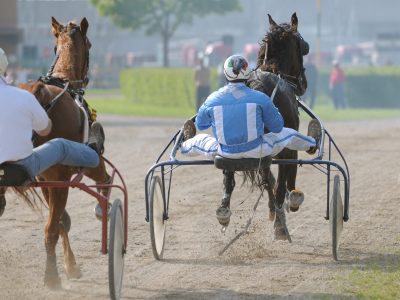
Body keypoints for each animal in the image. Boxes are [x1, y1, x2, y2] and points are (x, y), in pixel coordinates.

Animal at [14, 16, 111, 288]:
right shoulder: (73, 168)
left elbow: (61, 221)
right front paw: (68, 267)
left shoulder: (46, 179)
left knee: (55, 224)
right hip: (73, 167)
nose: (86, 80)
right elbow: (60, 222)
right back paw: (52, 276)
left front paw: (70, 265)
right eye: (90, 44)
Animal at [247, 12, 310, 240]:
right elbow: (285, 180)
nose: (303, 83)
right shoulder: (289, 147)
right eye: (304, 46)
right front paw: (292, 201)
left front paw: (274, 211)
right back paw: (281, 225)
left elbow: (271, 181)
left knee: (269, 181)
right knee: (280, 183)